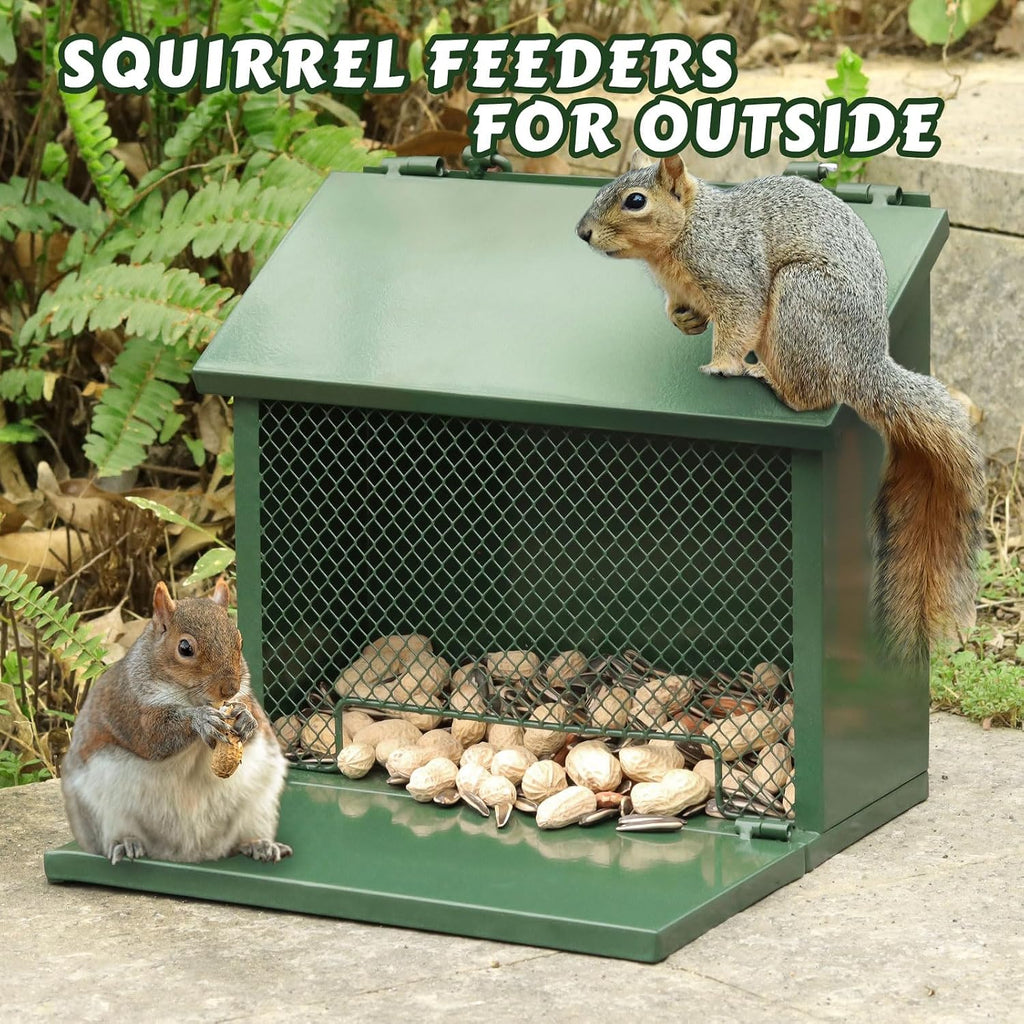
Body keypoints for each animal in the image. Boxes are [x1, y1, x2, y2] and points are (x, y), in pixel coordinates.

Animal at [61, 580, 291, 865]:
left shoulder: (246, 701)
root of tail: (188, 853)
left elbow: (255, 725)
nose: (230, 688)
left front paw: (246, 721)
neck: (191, 697)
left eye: (239, 640)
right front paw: (201, 720)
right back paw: (126, 843)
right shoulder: (132, 709)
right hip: (101, 807)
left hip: (260, 801)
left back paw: (259, 844)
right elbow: (155, 737)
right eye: (185, 648)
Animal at [576, 154, 983, 661]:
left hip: (799, 303)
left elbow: (739, 320)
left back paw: (766, 376)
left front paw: (721, 365)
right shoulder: (683, 288)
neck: (687, 232)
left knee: (811, 395)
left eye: (635, 201)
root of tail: (864, 365)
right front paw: (684, 321)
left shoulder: (733, 274)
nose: (583, 232)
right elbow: (682, 310)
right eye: (604, 188)